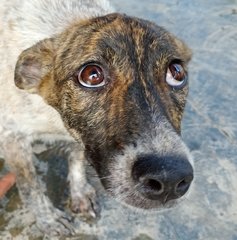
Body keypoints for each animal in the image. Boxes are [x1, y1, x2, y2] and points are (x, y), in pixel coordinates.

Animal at [0, 0, 193, 236]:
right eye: (92, 75)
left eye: (177, 72)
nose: (170, 177)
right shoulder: (11, 137)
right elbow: (31, 187)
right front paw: (49, 220)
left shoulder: (78, 134)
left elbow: (77, 160)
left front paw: (80, 193)